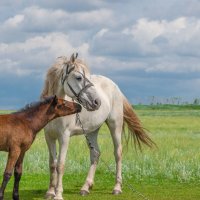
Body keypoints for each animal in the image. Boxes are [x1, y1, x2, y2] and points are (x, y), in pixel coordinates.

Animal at [40, 53, 153, 200]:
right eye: (79, 77)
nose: (96, 102)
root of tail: (115, 87)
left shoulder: (64, 137)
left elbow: (60, 165)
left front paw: (58, 194)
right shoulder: (49, 137)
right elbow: (52, 164)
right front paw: (49, 192)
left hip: (115, 125)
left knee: (118, 153)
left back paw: (117, 187)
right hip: (91, 131)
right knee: (95, 154)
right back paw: (86, 187)